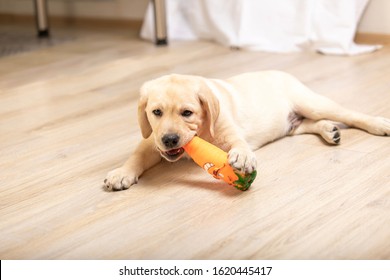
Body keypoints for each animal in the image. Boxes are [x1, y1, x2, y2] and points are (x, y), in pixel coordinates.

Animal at [103, 71, 390, 191]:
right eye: (156, 112)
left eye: (187, 113)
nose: (170, 139)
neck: (202, 133)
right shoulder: (151, 140)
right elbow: (138, 155)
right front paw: (121, 173)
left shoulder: (228, 129)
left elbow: (238, 143)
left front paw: (242, 157)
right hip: (292, 124)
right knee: (308, 124)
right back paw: (330, 131)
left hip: (312, 103)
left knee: (349, 114)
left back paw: (378, 124)